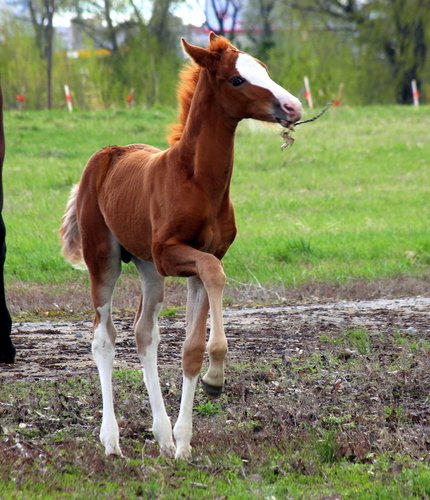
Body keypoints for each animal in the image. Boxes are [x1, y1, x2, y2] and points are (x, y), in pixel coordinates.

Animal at [60, 33, 300, 458]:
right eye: (237, 79)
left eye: (265, 69)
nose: (293, 106)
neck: (198, 181)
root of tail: (104, 155)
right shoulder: (171, 255)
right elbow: (214, 274)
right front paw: (216, 379)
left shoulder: (199, 258)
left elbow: (190, 348)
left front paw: (185, 440)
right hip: (105, 258)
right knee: (104, 337)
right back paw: (111, 441)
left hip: (146, 267)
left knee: (144, 333)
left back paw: (162, 435)